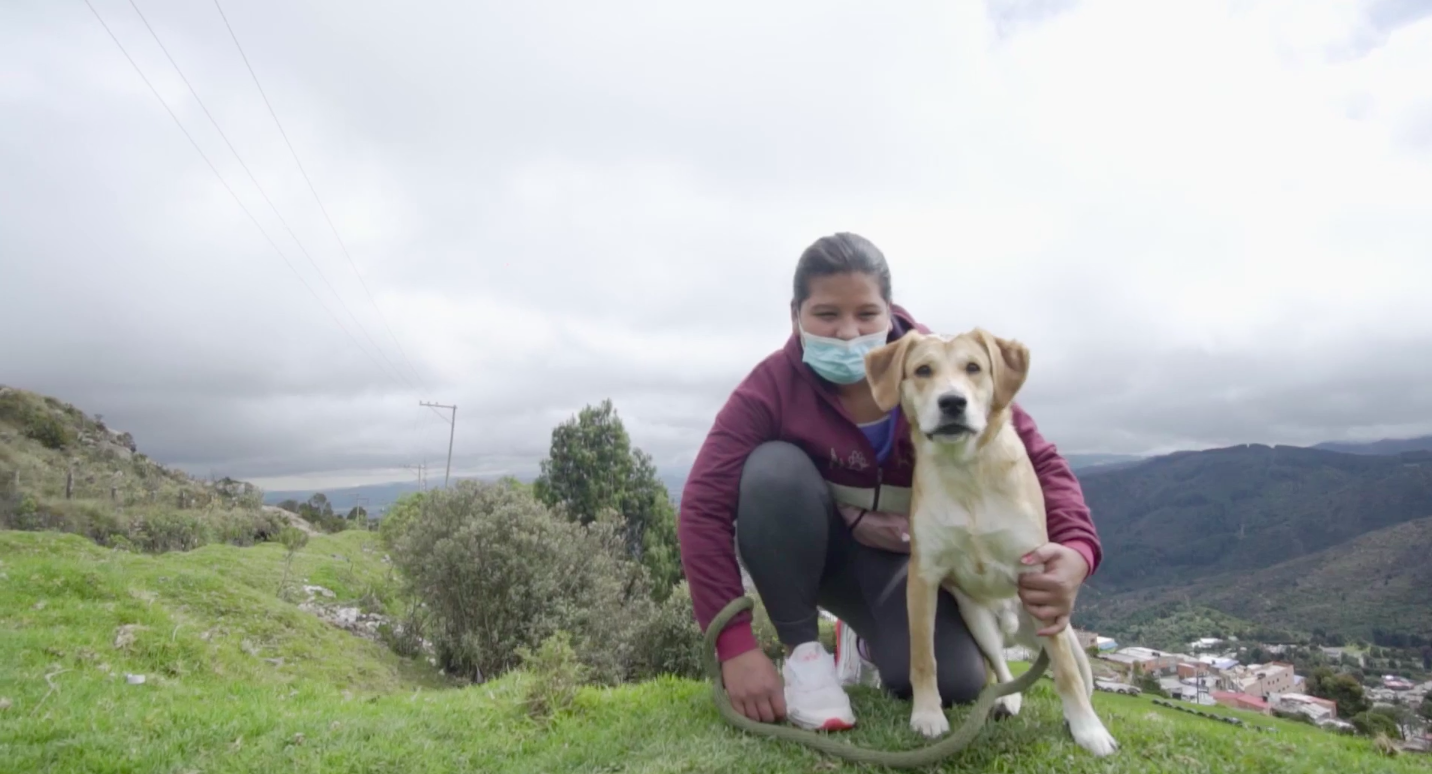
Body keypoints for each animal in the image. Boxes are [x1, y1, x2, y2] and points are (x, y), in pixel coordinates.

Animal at [859, 324, 1116, 755]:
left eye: (974, 368)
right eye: (923, 370)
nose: (952, 402)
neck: (966, 471)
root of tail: (1013, 623)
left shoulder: (1038, 574)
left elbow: (1065, 673)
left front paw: (1089, 730)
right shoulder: (924, 577)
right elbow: (923, 657)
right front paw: (928, 715)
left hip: (1060, 627)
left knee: (1079, 672)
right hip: (978, 620)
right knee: (1000, 667)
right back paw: (1005, 700)